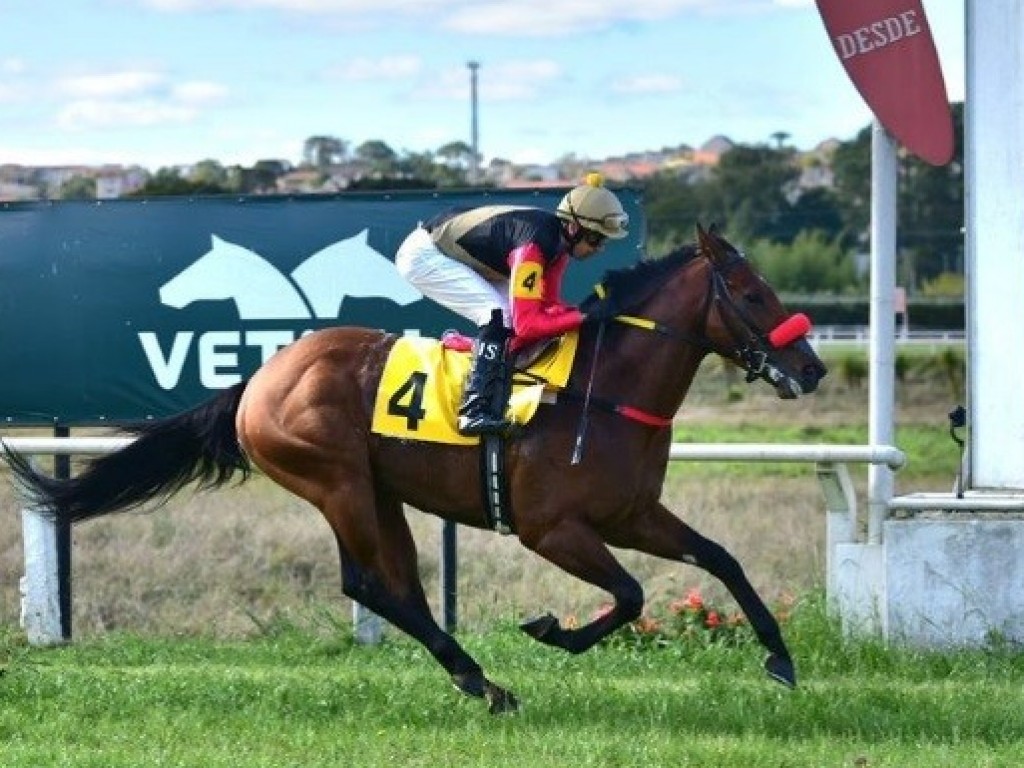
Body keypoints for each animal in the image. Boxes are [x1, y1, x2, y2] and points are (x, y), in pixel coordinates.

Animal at [4, 222, 823, 716]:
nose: (811, 368)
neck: (604, 388)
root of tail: (261, 378)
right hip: (338, 483)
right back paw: (482, 679)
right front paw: (550, 629)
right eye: (752, 293)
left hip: (376, 492)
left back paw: (476, 677)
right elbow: (628, 594)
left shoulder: (632, 514)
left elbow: (720, 558)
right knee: (372, 584)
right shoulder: (552, 529)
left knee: (391, 585)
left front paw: (781, 661)